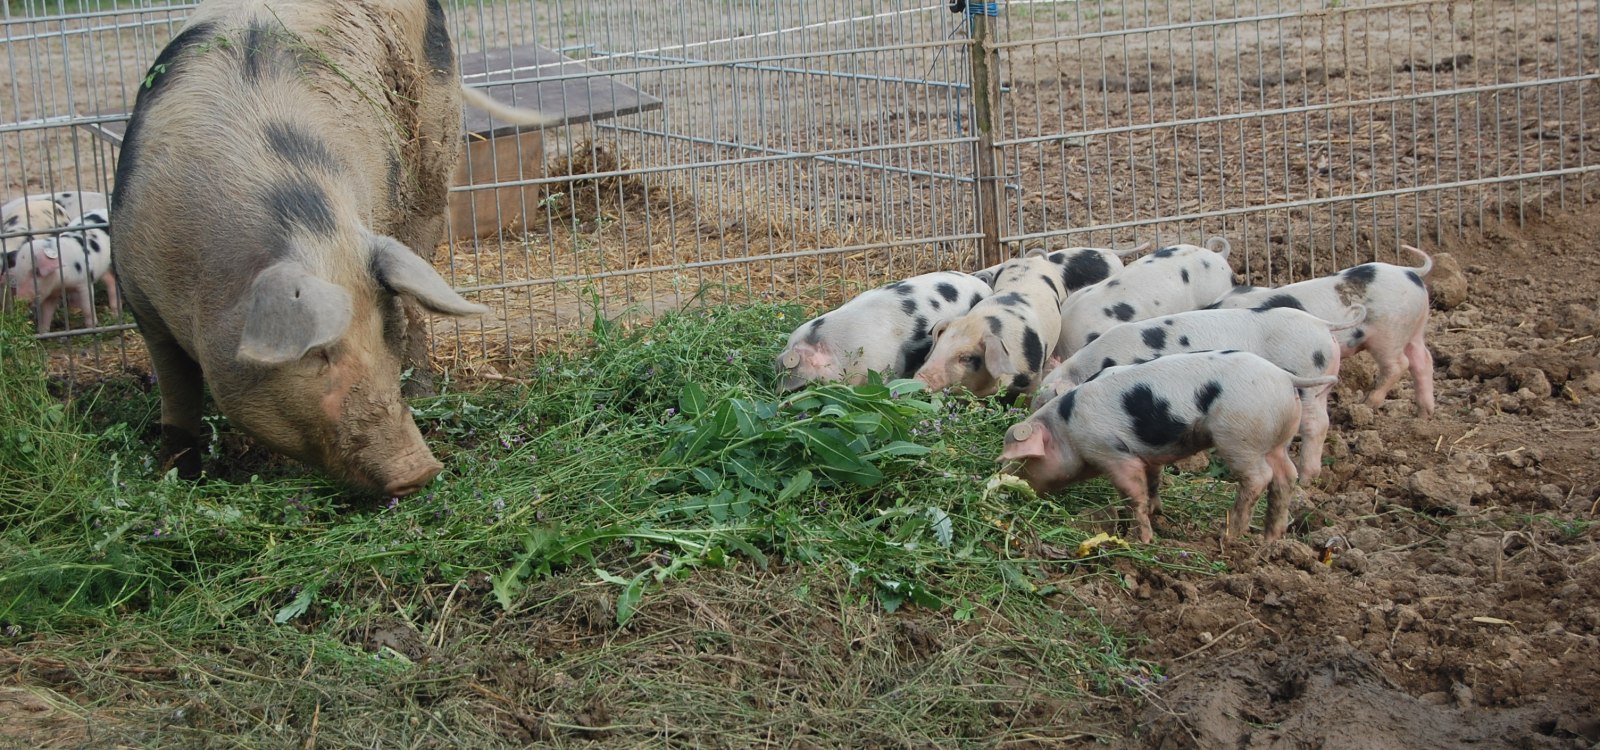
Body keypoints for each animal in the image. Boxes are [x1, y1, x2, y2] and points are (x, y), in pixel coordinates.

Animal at [111, 0, 556, 496]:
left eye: (383, 337)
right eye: (318, 352)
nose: (420, 469)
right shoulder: (139, 294)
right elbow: (177, 391)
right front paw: (175, 475)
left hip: (434, 155)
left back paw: (422, 390)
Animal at [999, 350, 1338, 543]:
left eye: (1026, 460)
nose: (1010, 486)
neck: (1066, 427)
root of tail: (1284, 376)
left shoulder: (1111, 452)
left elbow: (1132, 493)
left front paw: (1143, 539)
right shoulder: (1146, 455)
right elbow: (1153, 482)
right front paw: (1155, 512)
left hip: (1240, 436)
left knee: (1258, 478)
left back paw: (1229, 536)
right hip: (1276, 439)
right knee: (1285, 477)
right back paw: (1270, 539)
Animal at [1032, 305, 1364, 482]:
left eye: (1046, 398)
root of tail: (1322, 324)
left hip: (1306, 375)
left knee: (1315, 426)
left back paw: (1309, 477)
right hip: (1318, 386)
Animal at [1208, 245, 1435, 416]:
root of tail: (1409, 273)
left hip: (1389, 333)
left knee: (1399, 364)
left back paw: (1366, 403)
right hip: (1414, 327)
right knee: (1423, 359)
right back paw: (1424, 414)